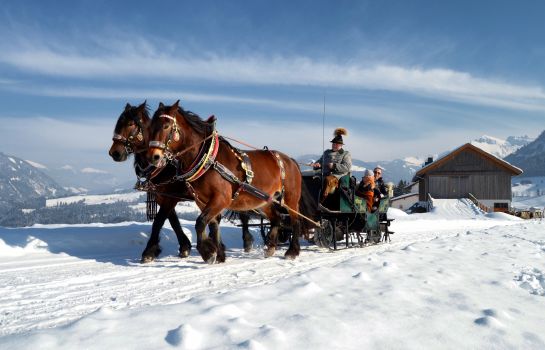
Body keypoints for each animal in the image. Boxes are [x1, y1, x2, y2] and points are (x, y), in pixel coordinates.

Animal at [147, 100, 304, 262]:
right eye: (150, 127)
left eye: (166, 126)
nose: (153, 157)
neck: (208, 159)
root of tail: (290, 160)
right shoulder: (202, 201)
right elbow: (213, 224)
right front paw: (219, 254)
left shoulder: (221, 198)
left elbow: (200, 222)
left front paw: (207, 252)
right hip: (263, 200)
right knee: (277, 218)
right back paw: (271, 246)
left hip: (291, 198)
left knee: (296, 221)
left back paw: (292, 250)